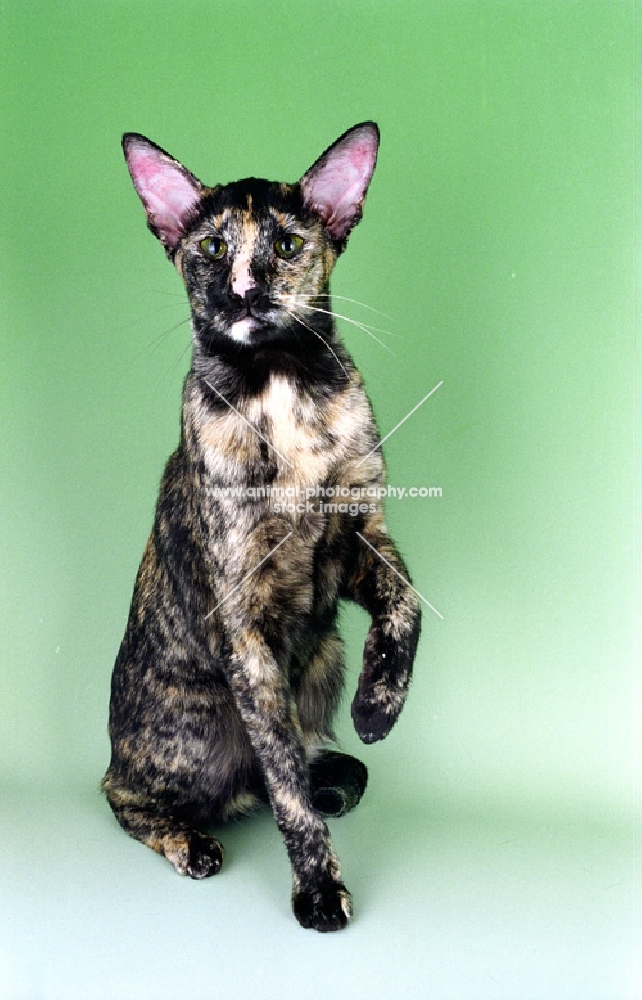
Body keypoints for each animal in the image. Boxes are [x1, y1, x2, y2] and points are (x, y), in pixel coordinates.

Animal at [101, 123, 420, 928]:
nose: (242, 289)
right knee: (130, 794)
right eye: (212, 248)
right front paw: (319, 890)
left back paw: (337, 768)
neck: (278, 387)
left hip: (323, 654)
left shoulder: (360, 538)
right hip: (197, 724)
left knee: (298, 756)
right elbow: (285, 791)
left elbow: (406, 608)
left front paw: (379, 708)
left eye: (285, 243)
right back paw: (190, 840)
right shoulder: (244, 623)